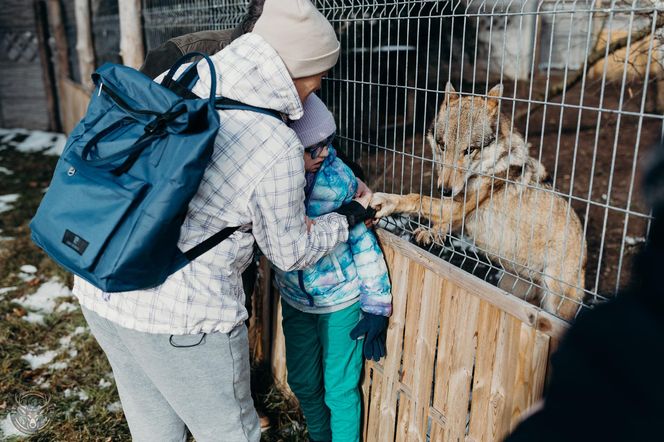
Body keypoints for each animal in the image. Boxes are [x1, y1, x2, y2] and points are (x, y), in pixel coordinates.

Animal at [374, 83, 588, 320]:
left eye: (469, 150)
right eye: (442, 145)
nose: (444, 190)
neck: (489, 167)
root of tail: (584, 247)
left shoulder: (458, 207)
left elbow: (417, 198)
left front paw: (390, 203)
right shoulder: (457, 212)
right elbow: (433, 214)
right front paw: (429, 230)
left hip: (555, 302)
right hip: (511, 285)